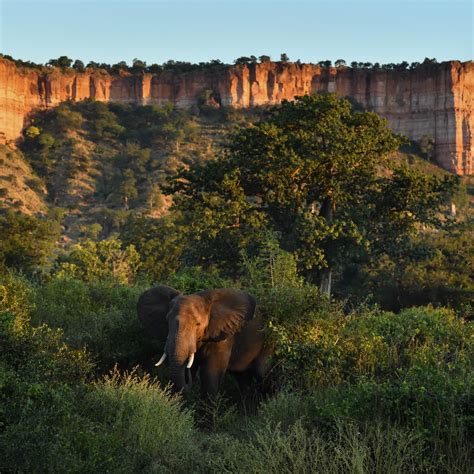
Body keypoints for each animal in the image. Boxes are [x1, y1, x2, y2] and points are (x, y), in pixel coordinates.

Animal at [135, 286, 272, 396]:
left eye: (198, 324)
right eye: (167, 321)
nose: (188, 378)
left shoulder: (223, 338)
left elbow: (211, 376)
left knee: (262, 373)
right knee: (243, 381)